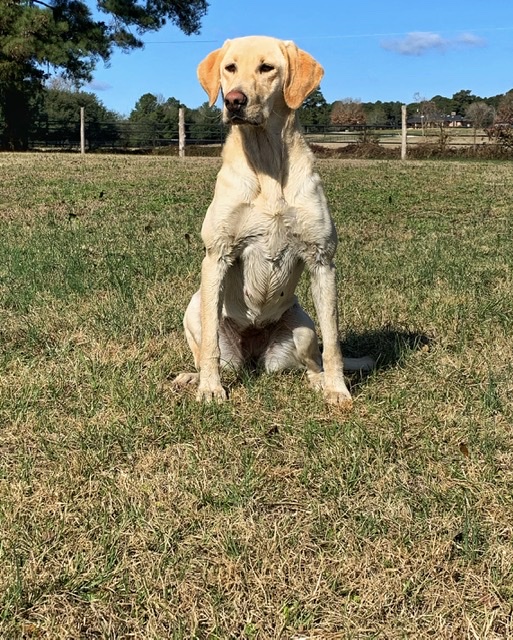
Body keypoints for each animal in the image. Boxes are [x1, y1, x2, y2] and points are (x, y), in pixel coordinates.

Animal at [173, 35, 372, 404]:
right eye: (230, 67)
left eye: (267, 68)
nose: (234, 100)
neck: (265, 161)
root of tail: (253, 352)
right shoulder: (217, 255)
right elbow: (210, 347)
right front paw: (209, 387)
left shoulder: (323, 261)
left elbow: (333, 344)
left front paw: (337, 389)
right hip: (194, 307)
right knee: (209, 347)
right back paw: (192, 377)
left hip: (303, 328)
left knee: (313, 359)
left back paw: (319, 381)